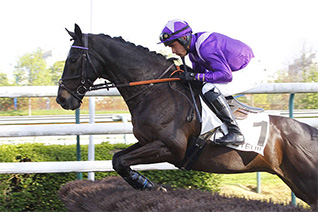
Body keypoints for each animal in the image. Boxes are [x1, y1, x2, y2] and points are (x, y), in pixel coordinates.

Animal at [57, 24, 318, 209]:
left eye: (73, 59)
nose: (62, 99)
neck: (153, 90)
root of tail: (310, 132)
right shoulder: (147, 141)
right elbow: (117, 159)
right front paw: (147, 185)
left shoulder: (172, 147)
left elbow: (121, 161)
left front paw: (151, 186)